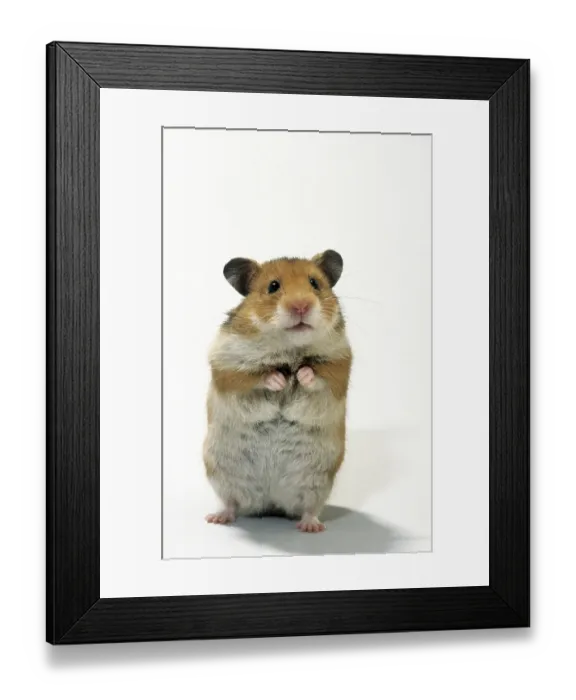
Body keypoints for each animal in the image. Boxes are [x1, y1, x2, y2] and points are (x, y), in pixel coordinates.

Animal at [203, 250, 352, 533]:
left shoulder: (339, 366)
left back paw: (311, 527)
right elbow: (252, 377)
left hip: (318, 483)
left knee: (309, 508)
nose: (301, 306)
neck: (288, 348)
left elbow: (317, 377)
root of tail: (271, 502)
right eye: (273, 286)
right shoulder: (227, 366)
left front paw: (301, 376)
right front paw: (278, 381)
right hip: (220, 473)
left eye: (315, 283)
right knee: (232, 502)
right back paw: (216, 518)